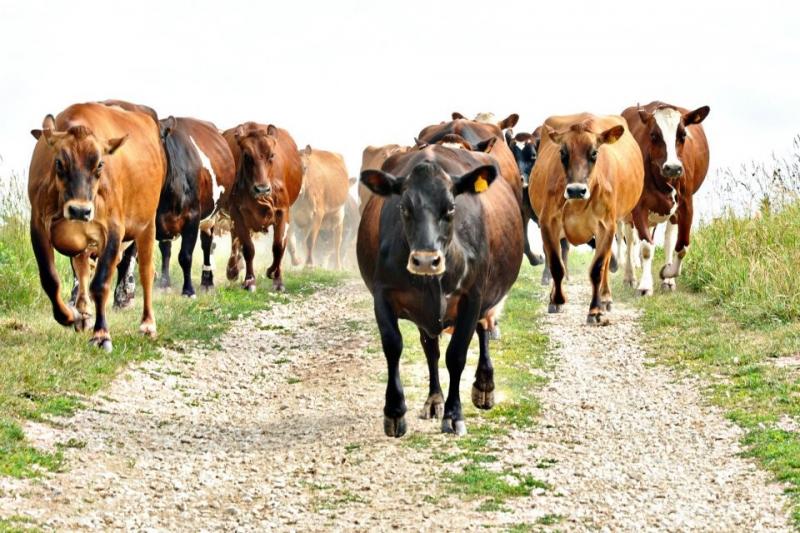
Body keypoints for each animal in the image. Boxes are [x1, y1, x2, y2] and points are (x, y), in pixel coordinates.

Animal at [28, 102, 166, 352]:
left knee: (146, 272)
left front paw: (101, 334)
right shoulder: (38, 226)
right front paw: (70, 315)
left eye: (100, 164)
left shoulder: (113, 230)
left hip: (147, 223)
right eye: (59, 162)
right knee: (83, 268)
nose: (79, 211)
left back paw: (148, 325)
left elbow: (100, 283)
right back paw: (83, 314)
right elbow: (50, 278)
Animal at [223, 122, 302, 290]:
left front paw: (276, 278)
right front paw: (250, 280)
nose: (262, 189)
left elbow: (278, 246)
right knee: (235, 240)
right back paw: (232, 269)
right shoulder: (237, 213)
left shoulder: (283, 211)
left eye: (272, 155)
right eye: (246, 156)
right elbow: (248, 248)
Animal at [532, 111, 644, 324]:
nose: (576, 190)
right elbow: (556, 265)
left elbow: (597, 268)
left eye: (594, 153)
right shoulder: (548, 223)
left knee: (607, 262)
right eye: (562, 153)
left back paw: (606, 298)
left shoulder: (606, 226)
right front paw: (556, 300)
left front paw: (595, 310)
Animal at [620, 101, 708, 294]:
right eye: (653, 135)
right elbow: (646, 247)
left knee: (668, 239)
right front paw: (645, 285)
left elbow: (682, 246)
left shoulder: (686, 204)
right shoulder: (639, 207)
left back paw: (667, 280)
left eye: (683, 135)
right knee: (629, 241)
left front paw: (667, 273)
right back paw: (630, 277)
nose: (673, 168)